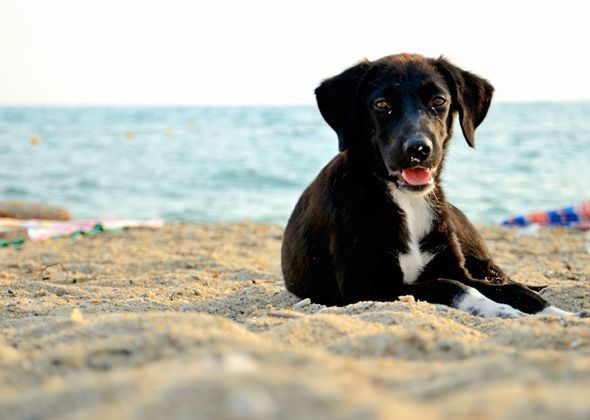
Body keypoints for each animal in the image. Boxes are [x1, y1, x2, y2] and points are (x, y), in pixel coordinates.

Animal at [284, 52, 588, 316]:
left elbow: (514, 290)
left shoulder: (454, 268)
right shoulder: (364, 289)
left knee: (507, 279)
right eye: (382, 104)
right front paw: (502, 310)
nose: (418, 149)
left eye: (439, 101)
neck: (408, 202)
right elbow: (452, 286)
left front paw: (560, 314)